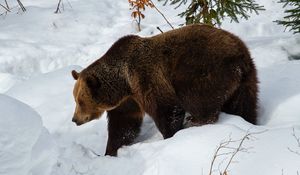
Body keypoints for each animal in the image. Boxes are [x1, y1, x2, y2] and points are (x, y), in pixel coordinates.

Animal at [70, 23, 258, 157]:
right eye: (75, 99)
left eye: (80, 101)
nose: (74, 119)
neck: (124, 82)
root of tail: (239, 58)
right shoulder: (128, 101)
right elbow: (123, 125)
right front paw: (110, 151)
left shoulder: (147, 79)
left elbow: (166, 110)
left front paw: (171, 136)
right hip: (246, 82)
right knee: (244, 106)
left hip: (201, 71)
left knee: (199, 101)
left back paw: (196, 122)